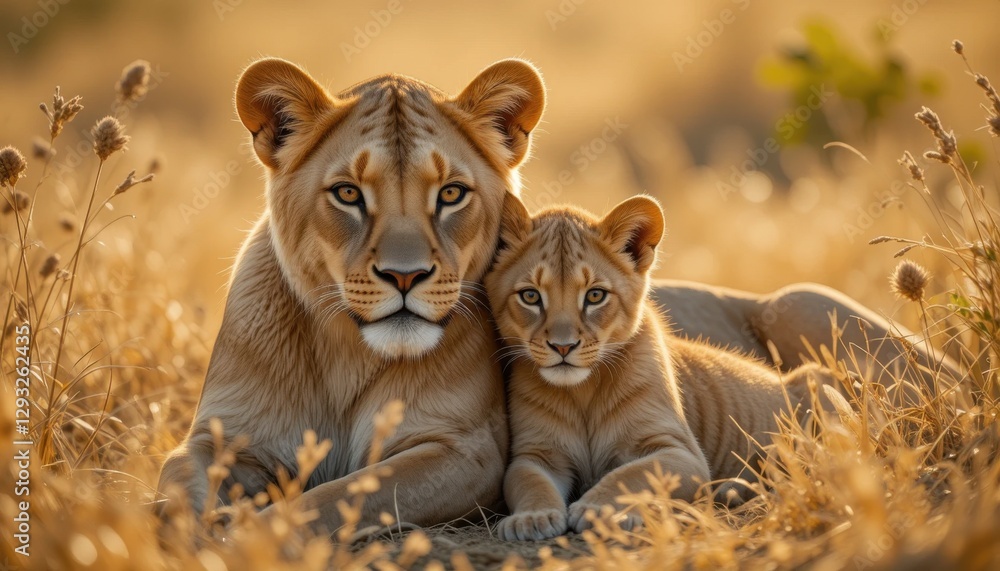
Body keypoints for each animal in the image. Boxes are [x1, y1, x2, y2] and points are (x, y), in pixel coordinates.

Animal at [156, 57, 545, 532]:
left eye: (451, 193)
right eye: (348, 193)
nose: (404, 276)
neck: (347, 352)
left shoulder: (465, 448)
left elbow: (333, 497)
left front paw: (248, 533)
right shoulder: (224, 435)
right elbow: (175, 484)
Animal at [485, 193, 829, 541]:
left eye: (595, 296)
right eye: (530, 296)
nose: (563, 347)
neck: (583, 392)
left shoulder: (682, 453)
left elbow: (633, 474)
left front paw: (598, 509)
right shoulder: (538, 453)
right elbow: (529, 481)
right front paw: (531, 518)